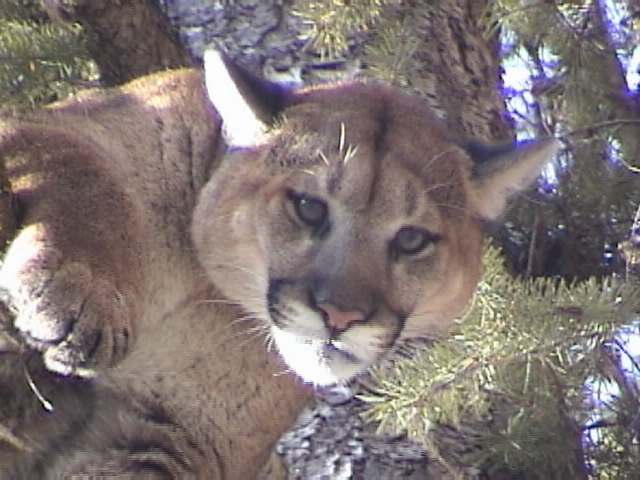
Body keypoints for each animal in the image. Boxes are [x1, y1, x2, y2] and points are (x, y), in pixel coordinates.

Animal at [0, 51, 558, 478]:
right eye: (309, 207)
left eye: (411, 239)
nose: (340, 317)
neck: (202, 287)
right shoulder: (64, 125)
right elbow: (82, 173)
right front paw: (73, 298)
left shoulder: (170, 433)